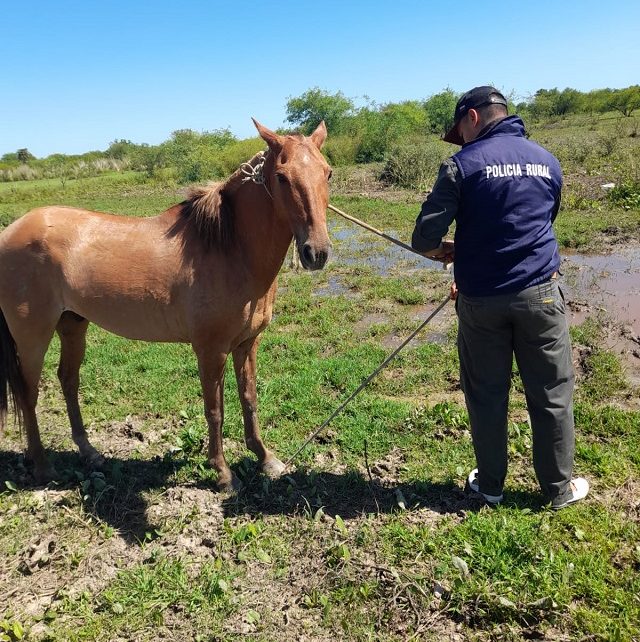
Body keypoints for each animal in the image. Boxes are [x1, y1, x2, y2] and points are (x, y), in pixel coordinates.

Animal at [0, 120, 332, 491]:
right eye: (282, 177)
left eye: (327, 173)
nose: (316, 252)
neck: (229, 247)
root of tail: (11, 231)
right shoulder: (211, 349)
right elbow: (215, 410)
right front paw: (222, 473)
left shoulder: (247, 343)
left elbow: (249, 400)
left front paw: (265, 458)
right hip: (33, 336)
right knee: (28, 393)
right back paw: (43, 468)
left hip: (72, 324)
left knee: (68, 380)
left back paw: (89, 452)